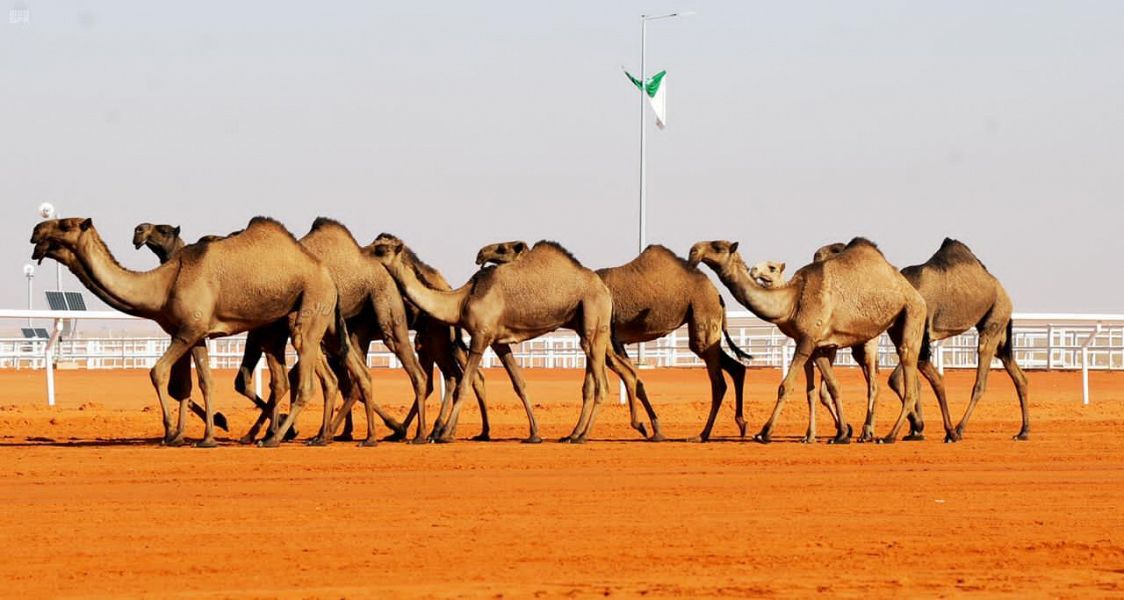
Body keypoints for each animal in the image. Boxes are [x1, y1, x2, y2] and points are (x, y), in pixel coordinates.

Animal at [32, 219, 343, 449]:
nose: (36, 232)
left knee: (304, 380)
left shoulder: (188, 331)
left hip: (312, 300)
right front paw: (203, 437)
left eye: (65, 224)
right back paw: (311, 436)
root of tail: (326, 274)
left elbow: (158, 372)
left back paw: (275, 439)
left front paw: (170, 432)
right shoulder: (192, 334)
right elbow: (196, 383)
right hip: (288, 323)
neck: (163, 284)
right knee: (313, 378)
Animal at [370, 237, 615, 444]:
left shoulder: (481, 335)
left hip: (594, 313)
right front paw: (534, 434)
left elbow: (465, 384)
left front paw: (444, 435)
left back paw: (582, 436)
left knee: (601, 384)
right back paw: (573, 434)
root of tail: (605, 289)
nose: (365, 252)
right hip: (585, 326)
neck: (461, 300)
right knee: (590, 379)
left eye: (381, 249)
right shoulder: (499, 341)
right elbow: (519, 383)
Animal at [476, 242, 755, 444]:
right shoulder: (605, 339)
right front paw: (652, 428)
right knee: (736, 367)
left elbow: (604, 381)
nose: (481, 254)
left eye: (503, 249)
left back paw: (703, 434)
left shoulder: (605, 338)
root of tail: (717, 295)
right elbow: (627, 379)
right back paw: (740, 426)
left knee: (717, 377)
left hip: (701, 316)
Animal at [687, 237, 926, 444]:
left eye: (718, 246)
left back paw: (888, 435)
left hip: (912, 313)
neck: (793, 300)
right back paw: (873, 432)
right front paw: (841, 434)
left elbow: (786, 385)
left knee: (903, 370)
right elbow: (831, 386)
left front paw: (764, 433)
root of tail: (910, 289)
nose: (693, 250)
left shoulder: (807, 340)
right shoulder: (818, 345)